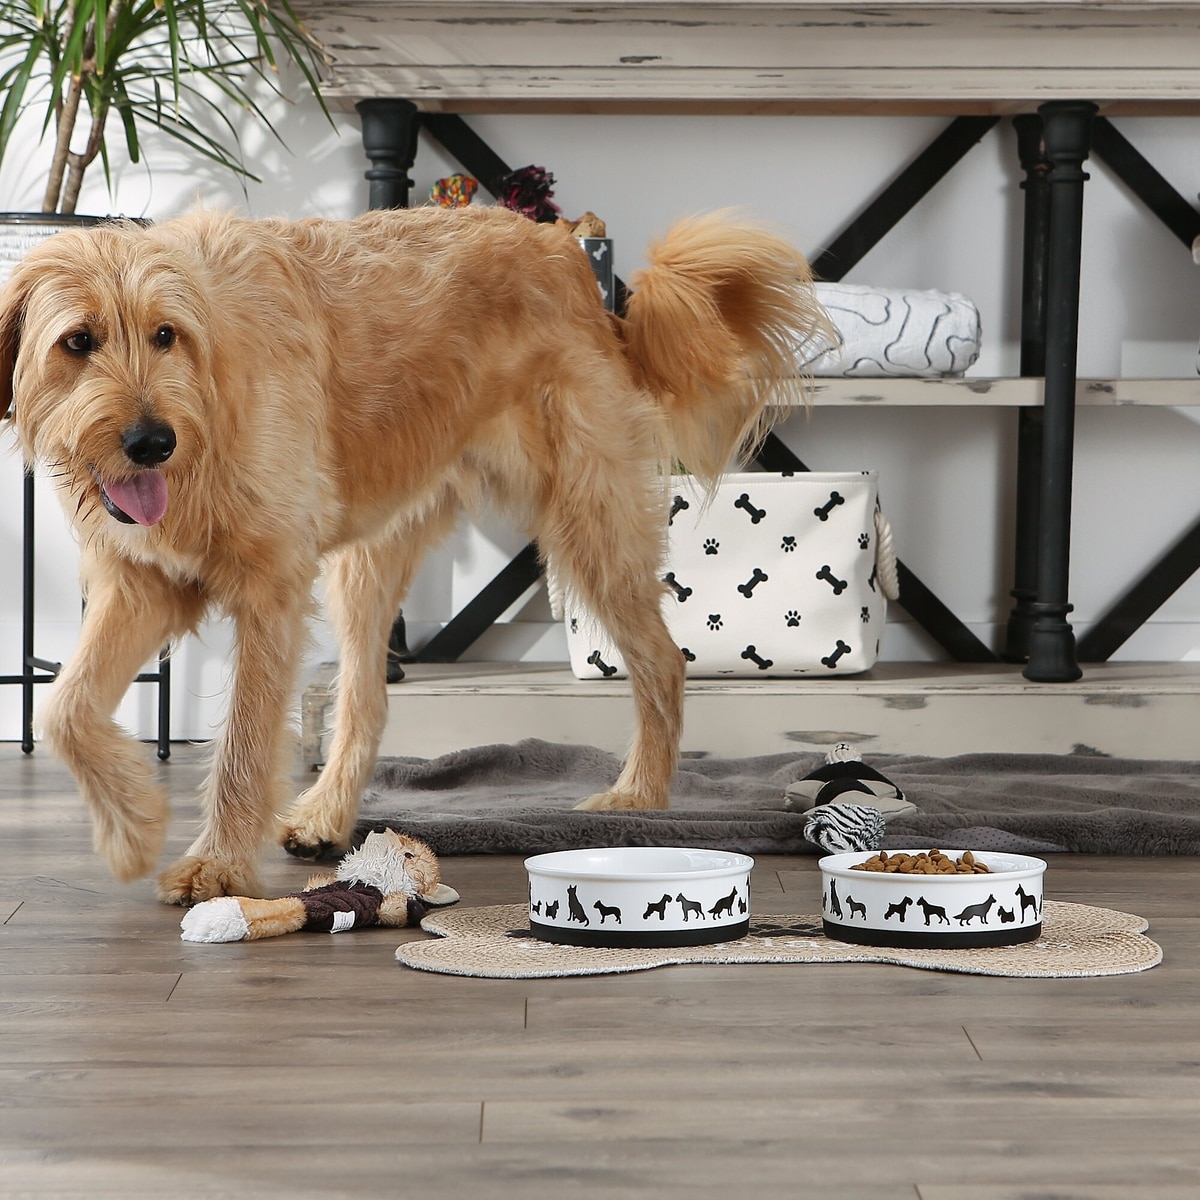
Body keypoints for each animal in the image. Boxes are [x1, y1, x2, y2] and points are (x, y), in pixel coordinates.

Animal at [0, 205, 827, 905]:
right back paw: (328, 813)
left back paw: (639, 798)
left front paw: (218, 866)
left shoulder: (269, 588)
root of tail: (564, 247)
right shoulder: (143, 585)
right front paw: (134, 829)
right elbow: (62, 710)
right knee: (367, 696)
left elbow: (241, 741)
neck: (207, 388)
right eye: (78, 342)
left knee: (662, 660)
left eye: (165, 334)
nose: (151, 442)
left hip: (591, 522)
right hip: (368, 561)